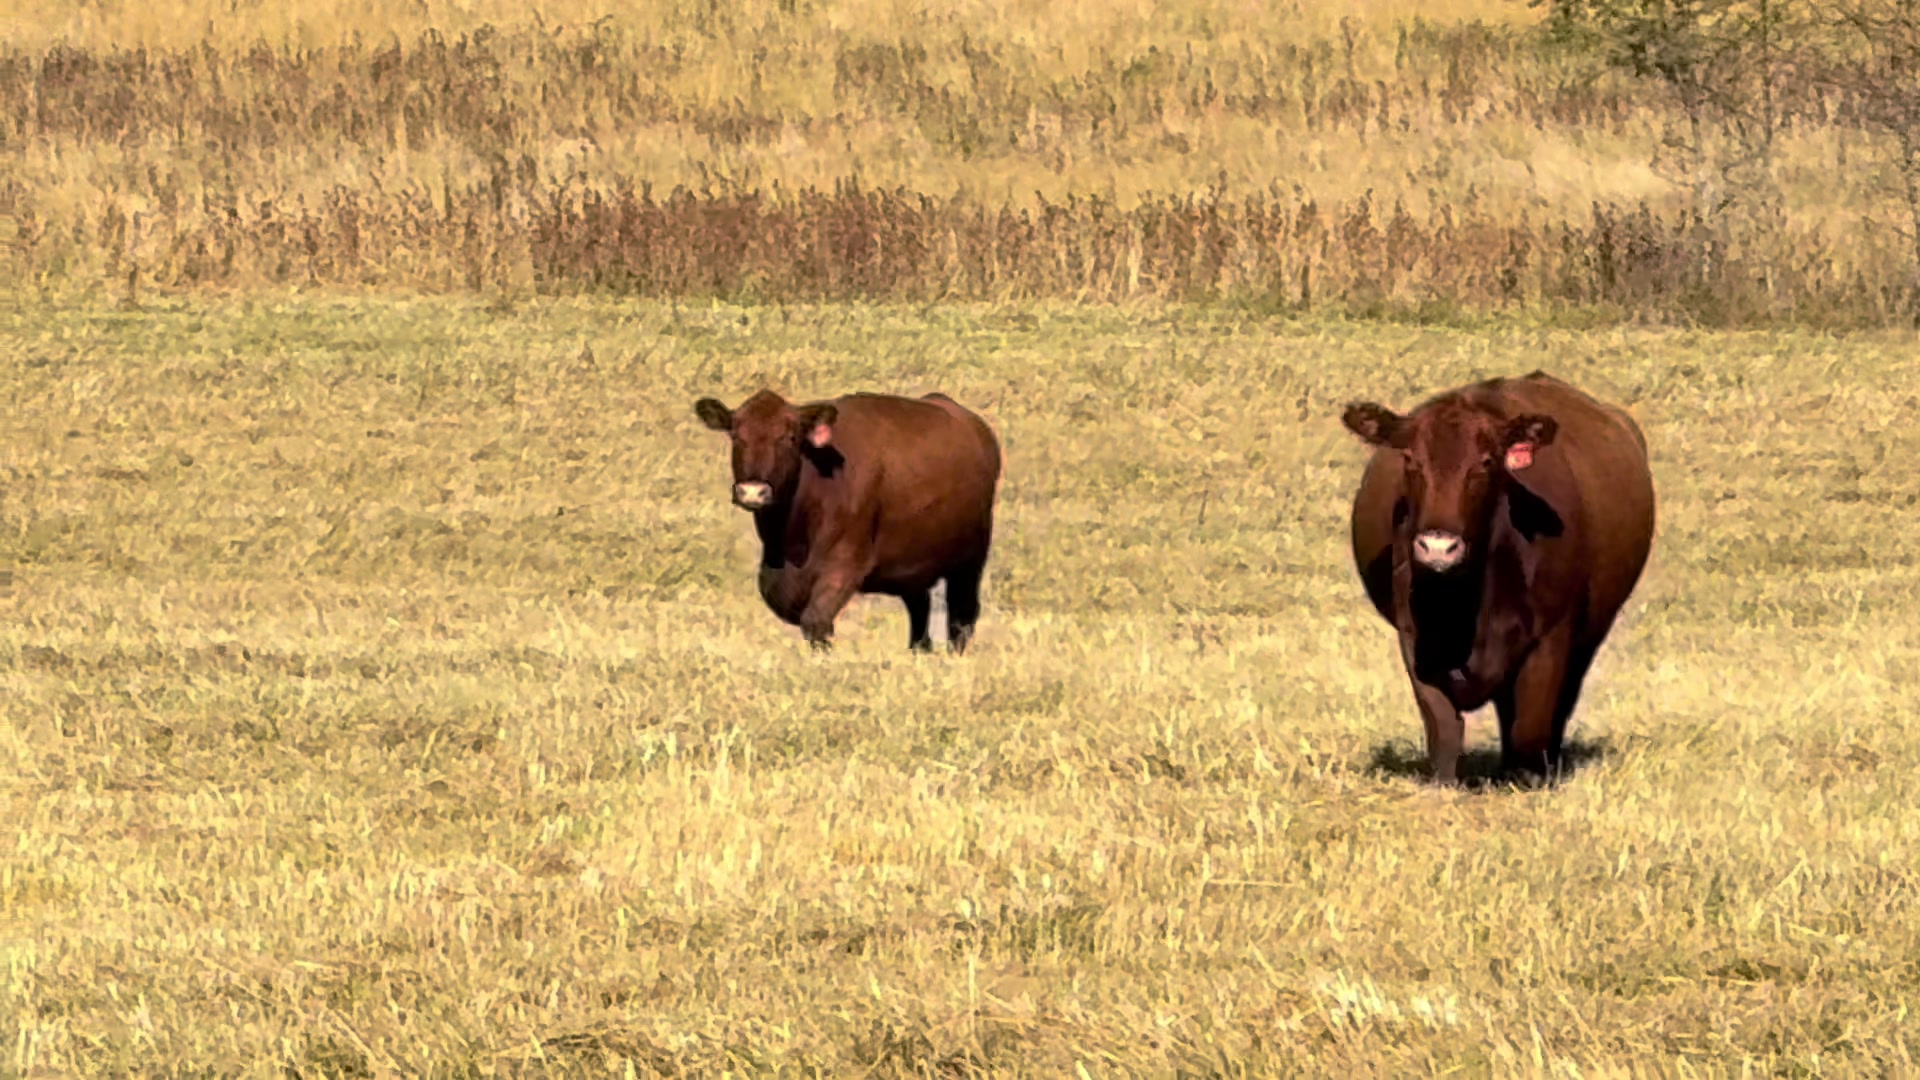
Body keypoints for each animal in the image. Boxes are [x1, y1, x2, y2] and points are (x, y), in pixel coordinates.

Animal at [692, 388, 1003, 654]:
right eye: (736, 436)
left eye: (789, 437)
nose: (753, 491)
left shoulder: (845, 562)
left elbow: (815, 620)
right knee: (920, 610)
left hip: (970, 560)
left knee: (962, 616)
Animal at [1339, 370, 1657, 786]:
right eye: (1409, 459)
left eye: (1486, 462)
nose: (1438, 547)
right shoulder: (1414, 638)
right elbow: (1443, 726)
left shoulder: (1551, 637)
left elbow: (1532, 725)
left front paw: (1528, 781)